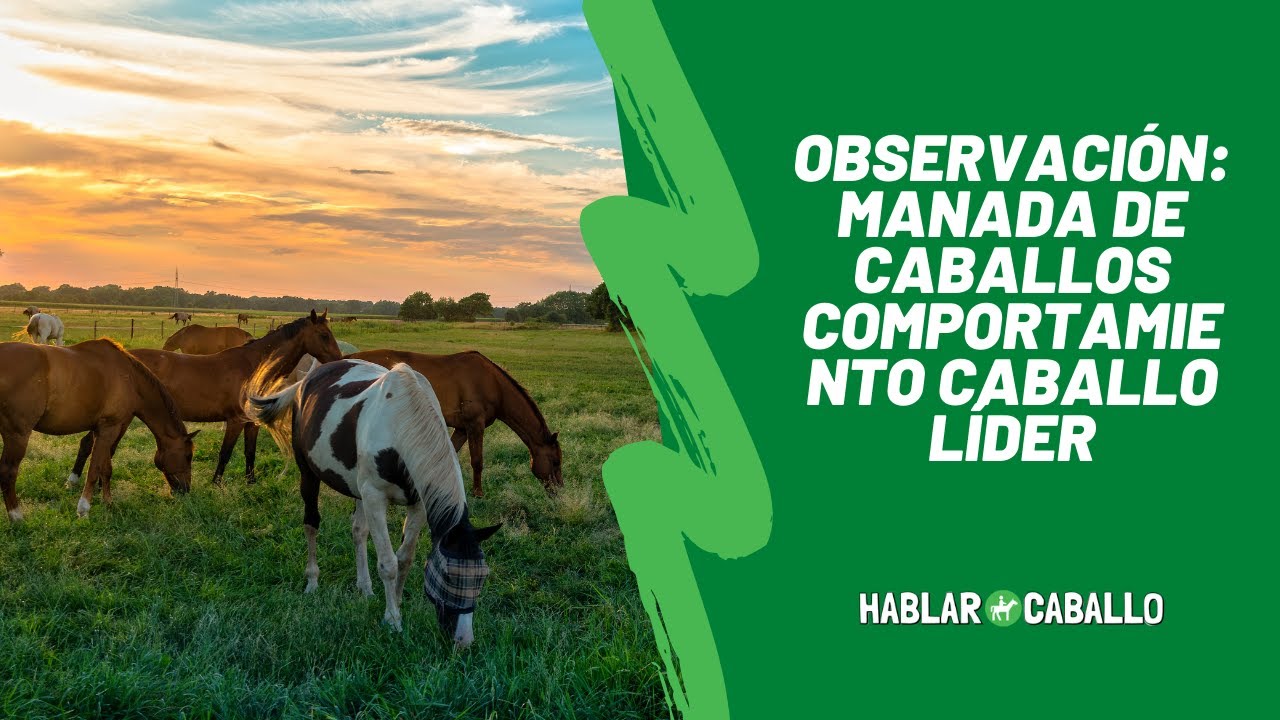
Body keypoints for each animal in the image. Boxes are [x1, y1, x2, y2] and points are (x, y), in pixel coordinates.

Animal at [0, 339, 197, 521]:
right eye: (188, 456)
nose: (186, 490)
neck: (130, 378)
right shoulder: (110, 428)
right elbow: (94, 469)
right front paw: (84, 508)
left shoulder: (103, 430)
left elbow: (106, 467)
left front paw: (108, 502)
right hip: (17, 435)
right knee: (8, 471)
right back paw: (16, 517)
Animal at [68, 311, 342, 487]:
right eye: (324, 335)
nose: (338, 360)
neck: (252, 367)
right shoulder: (235, 421)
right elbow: (225, 453)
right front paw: (216, 483)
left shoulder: (251, 423)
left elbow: (249, 452)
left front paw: (251, 482)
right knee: (89, 443)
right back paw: (74, 480)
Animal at [247, 359, 500, 646]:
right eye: (448, 575)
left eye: (482, 577)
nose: (464, 640)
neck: (400, 424)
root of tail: (307, 379)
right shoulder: (375, 498)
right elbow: (388, 563)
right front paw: (392, 620)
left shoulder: (418, 503)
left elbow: (405, 559)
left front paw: (396, 604)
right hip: (309, 474)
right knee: (311, 524)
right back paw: (312, 582)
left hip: (358, 491)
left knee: (358, 531)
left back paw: (365, 588)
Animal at [347, 350, 562, 497]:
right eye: (555, 461)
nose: (559, 490)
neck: (492, 384)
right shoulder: (475, 425)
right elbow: (477, 461)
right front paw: (478, 493)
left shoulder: (461, 429)